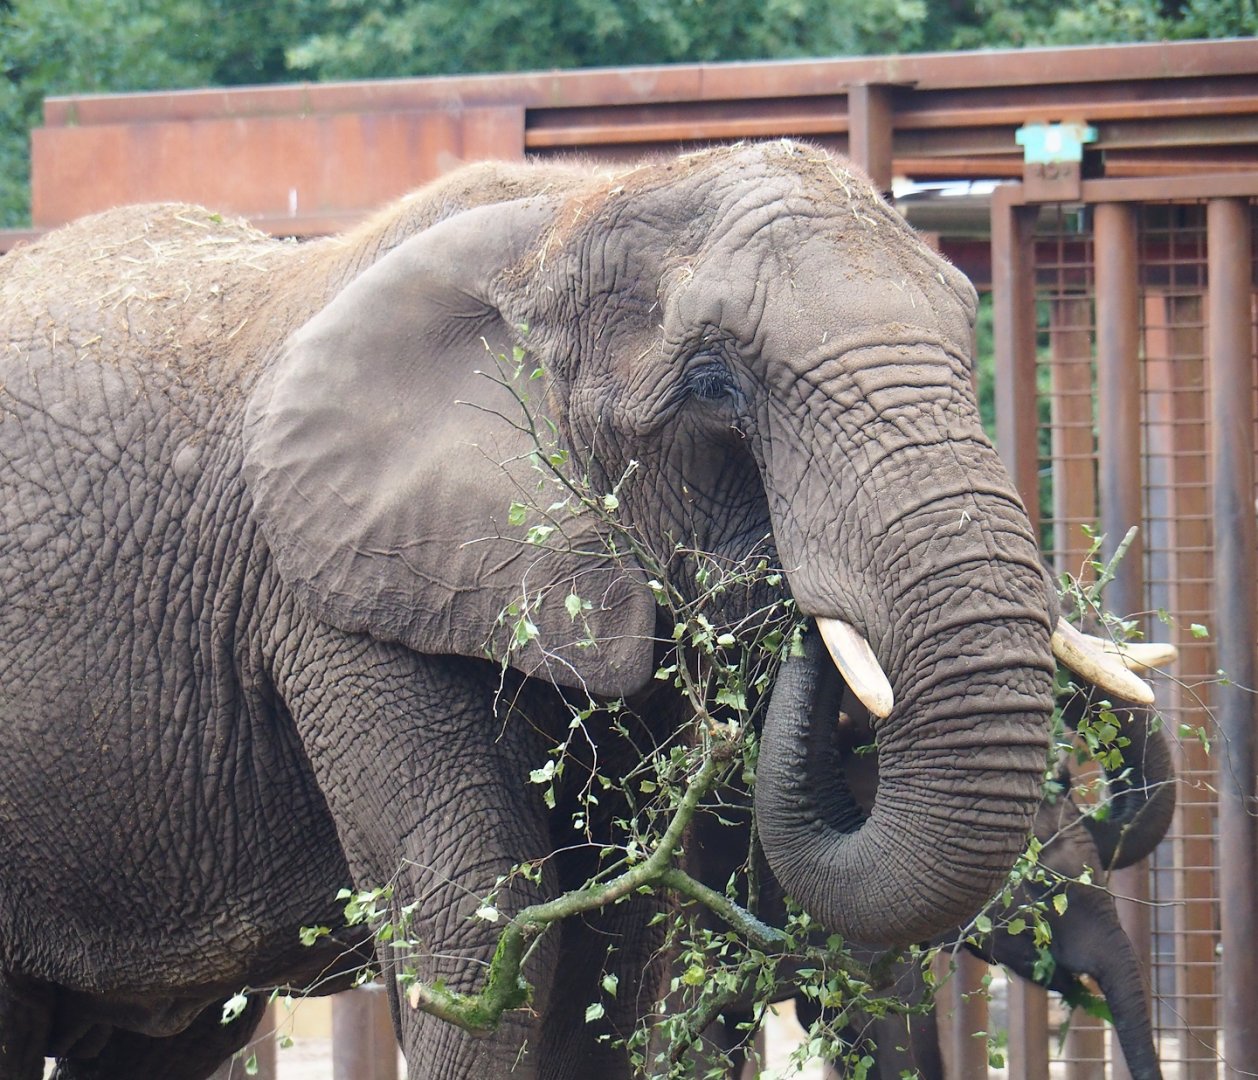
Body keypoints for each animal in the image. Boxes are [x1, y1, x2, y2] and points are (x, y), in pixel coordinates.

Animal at [0, 141, 1153, 1080]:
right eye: (714, 387)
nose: (801, 604)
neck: (568, 215)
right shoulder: (332, 593)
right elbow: (480, 919)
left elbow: (618, 946)